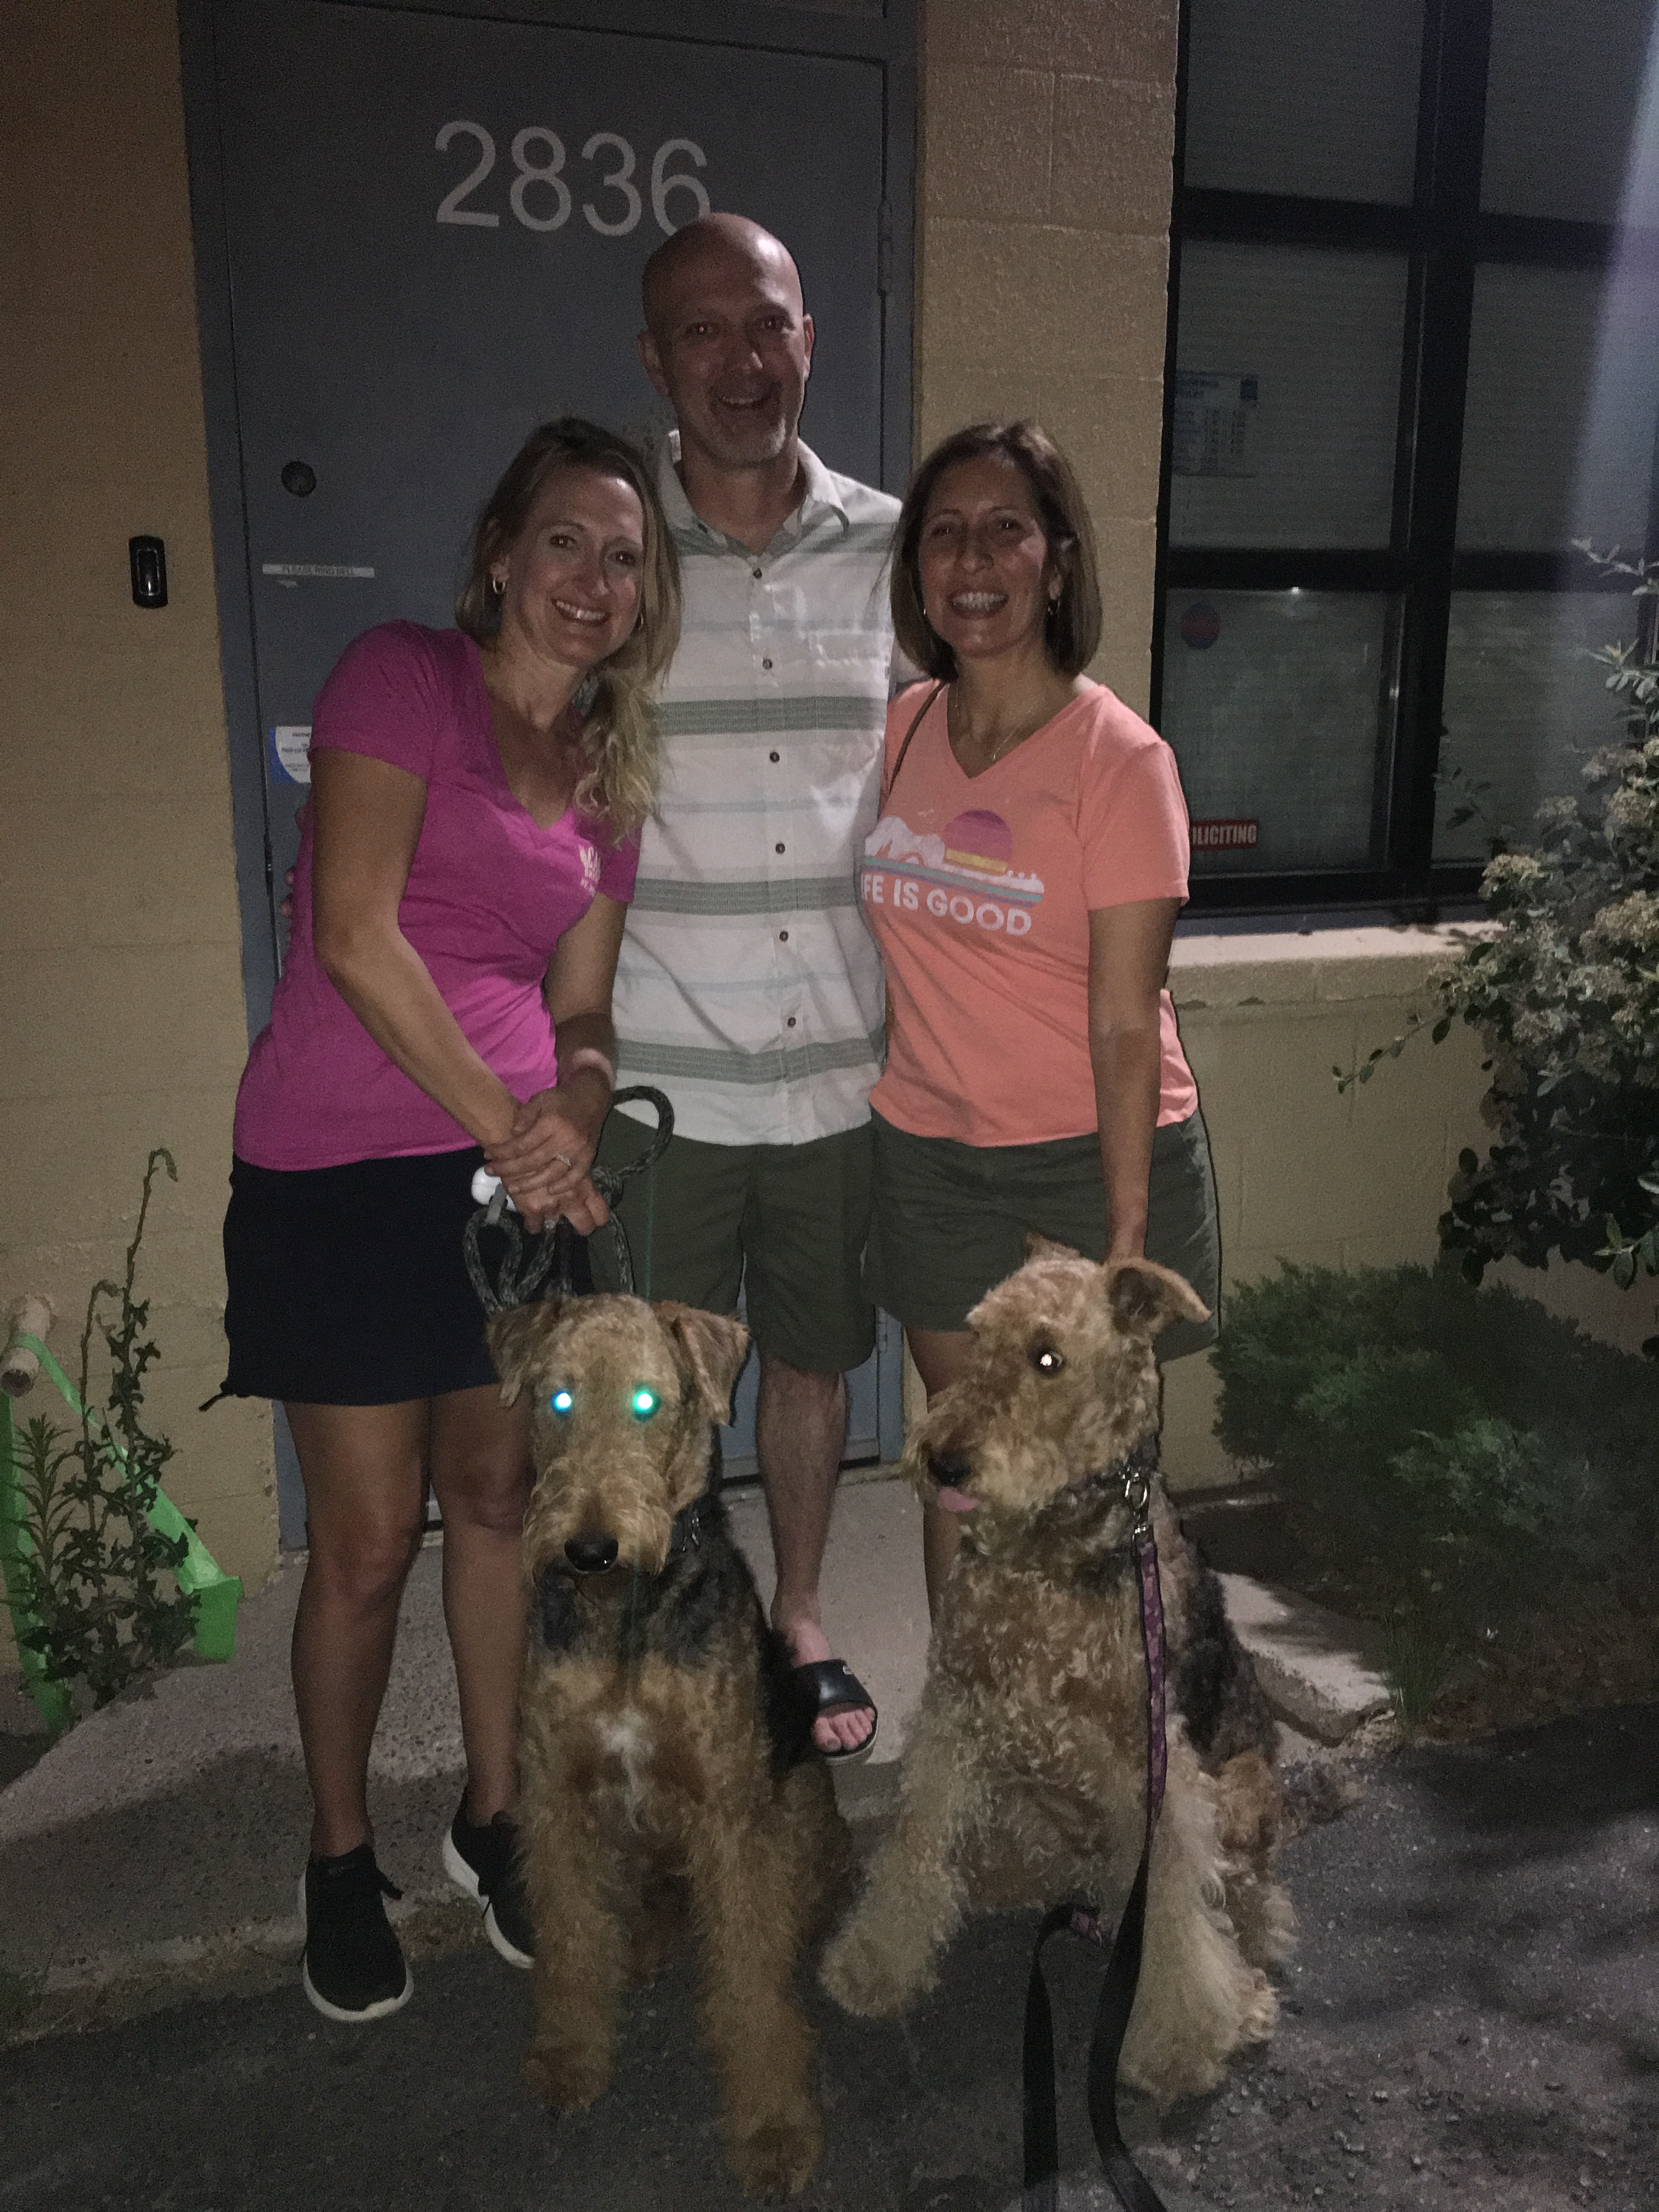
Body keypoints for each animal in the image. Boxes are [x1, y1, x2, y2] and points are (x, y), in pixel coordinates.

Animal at [488, 1293, 848, 2200]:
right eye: (557, 1397)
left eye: (649, 1401)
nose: (590, 1548)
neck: (625, 1616)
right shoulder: (556, 1797)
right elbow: (570, 1939)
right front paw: (570, 2056)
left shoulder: (729, 1816)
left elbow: (750, 1989)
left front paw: (773, 2132)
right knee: (641, 1904)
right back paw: (644, 1941)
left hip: (791, 1803)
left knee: (781, 1911)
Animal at [819, 1241, 1292, 2105]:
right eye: (977, 1336)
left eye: (1049, 1359)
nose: (943, 1462)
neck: (1047, 1548)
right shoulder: (957, 1708)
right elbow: (914, 1844)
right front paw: (873, 1965)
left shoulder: (1154, 1765)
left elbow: (1178, 1910)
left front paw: (1178, 2044)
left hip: (1239, 1790)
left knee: (1246, 1909)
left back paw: (1246, 1996)